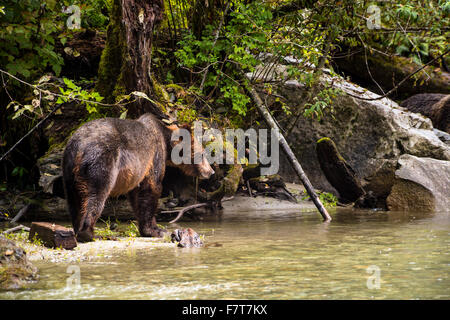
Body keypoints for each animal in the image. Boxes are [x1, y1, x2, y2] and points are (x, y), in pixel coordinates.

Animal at [61, 114, 214, 241]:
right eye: (202, 154)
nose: (211, 172)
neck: (166, 142)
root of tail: (79, 146)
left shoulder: (137, 170)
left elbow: (136, 195)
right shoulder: (154, 156)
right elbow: (151, 189)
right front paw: (156, 230)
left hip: (69, 170)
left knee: (74, 200)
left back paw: (77, 229)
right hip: (101, 160)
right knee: (96, 194)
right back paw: (91, 233)